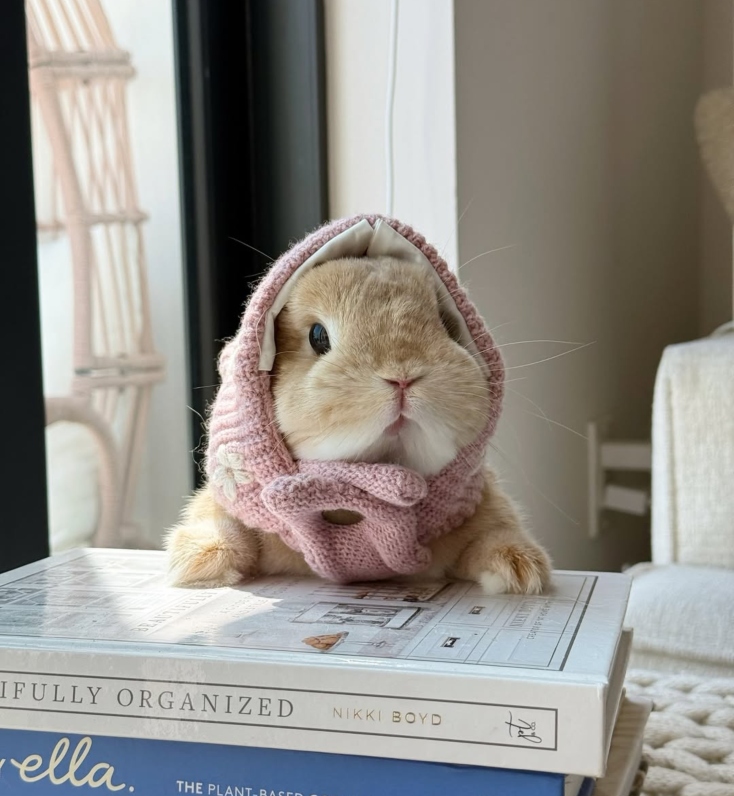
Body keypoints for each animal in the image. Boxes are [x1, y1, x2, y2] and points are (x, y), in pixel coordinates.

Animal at [165, 252, 552, 595]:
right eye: (317, 336)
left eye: (446, 323)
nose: (402, 376)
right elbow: (223, 522)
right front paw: (198, 561)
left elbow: (492, 533)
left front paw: (519, 568)